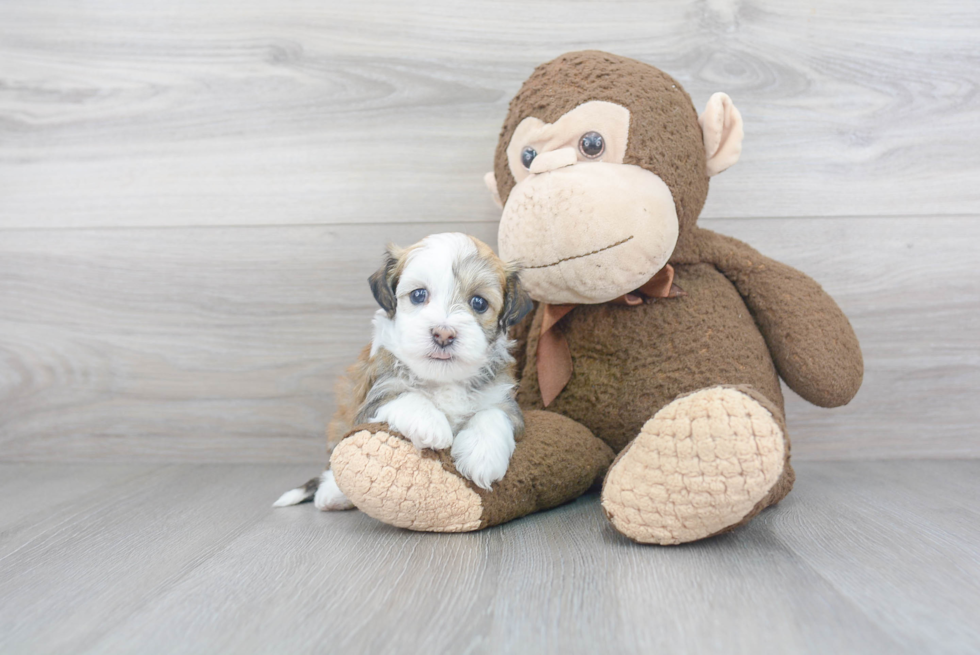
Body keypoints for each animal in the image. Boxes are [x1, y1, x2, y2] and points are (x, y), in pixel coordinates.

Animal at [274, 233, 536, 516]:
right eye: (419, 295)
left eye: (479, 302)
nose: (443, 333)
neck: (443, 378)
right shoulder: (372, 398)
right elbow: (405, 395)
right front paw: (430, 423)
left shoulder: (503, 398)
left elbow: (493, 414)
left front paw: (482, 455)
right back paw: (332, 494)